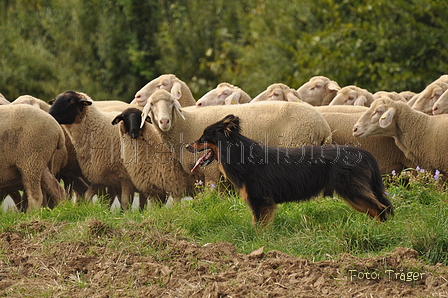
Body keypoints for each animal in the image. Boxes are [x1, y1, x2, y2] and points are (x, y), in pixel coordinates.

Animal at [141, 89, 332, 186]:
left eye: (171, 103)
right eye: (152, 104)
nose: (164, 121)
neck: (186, 123)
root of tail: (323, 126)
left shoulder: (212, 172)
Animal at [187, 114, 394, 226]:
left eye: (203, 138)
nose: (187, 145)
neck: (241, 155)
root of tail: (363, 153)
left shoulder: (260, 202)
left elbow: (258, 227)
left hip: (352, 190)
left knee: (379, 208)